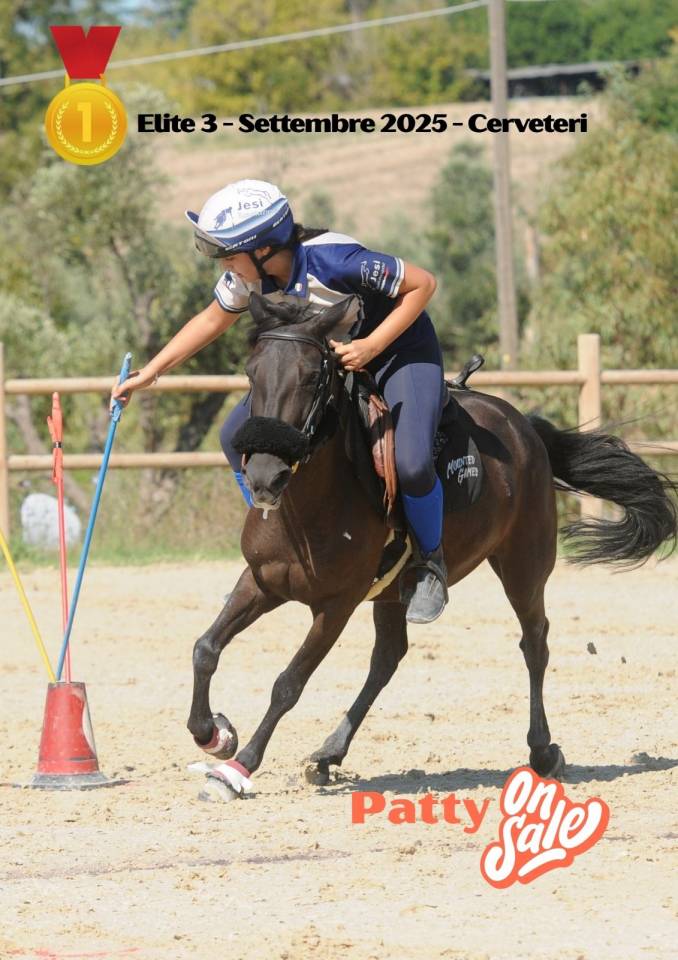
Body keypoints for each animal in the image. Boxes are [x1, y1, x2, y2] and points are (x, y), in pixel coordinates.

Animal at [187, 292, 677, 797]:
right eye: (251, 374)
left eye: (311, 377)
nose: (265, 477)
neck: (305, 511)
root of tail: (523, 426)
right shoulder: (261, 582)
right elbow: (205, 649)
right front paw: (214, 734)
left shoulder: (335, 606)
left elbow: (288, 683)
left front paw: (237, 767)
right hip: (391, 592)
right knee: (387, 658)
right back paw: (328, 753)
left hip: (523, 564)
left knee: (534, 642)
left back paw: (542, 751)